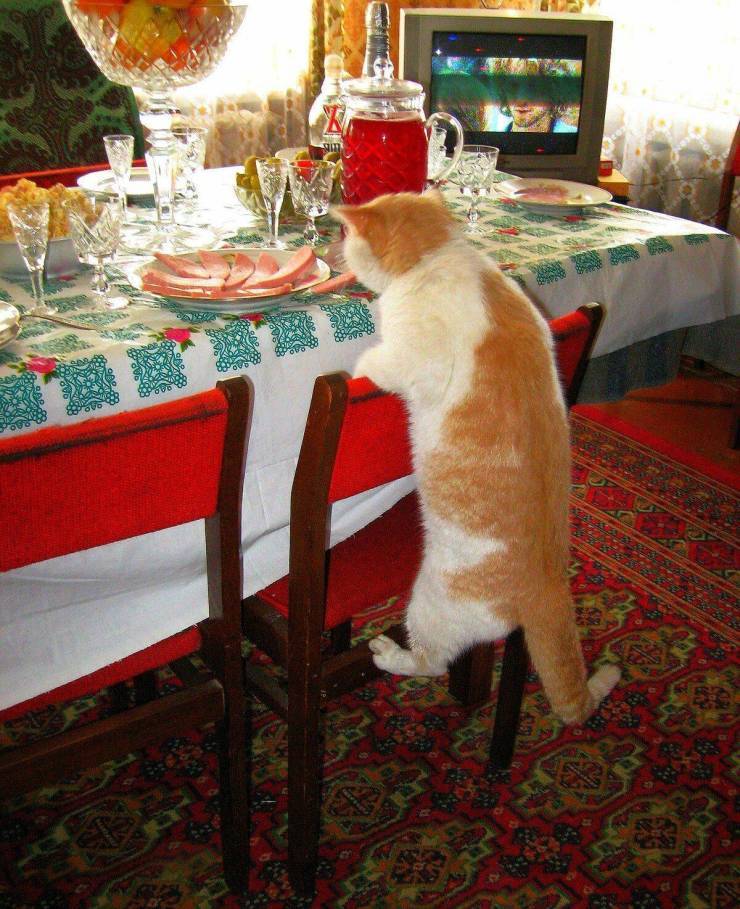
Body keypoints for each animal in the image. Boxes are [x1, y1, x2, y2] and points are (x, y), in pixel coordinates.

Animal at [336, 192, 620, 724]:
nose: (336, 252)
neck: (440, 256)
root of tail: (549, 586)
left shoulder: (411, 358)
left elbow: (375, 361)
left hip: (429, 602)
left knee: (430, 662)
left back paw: (388, 654)